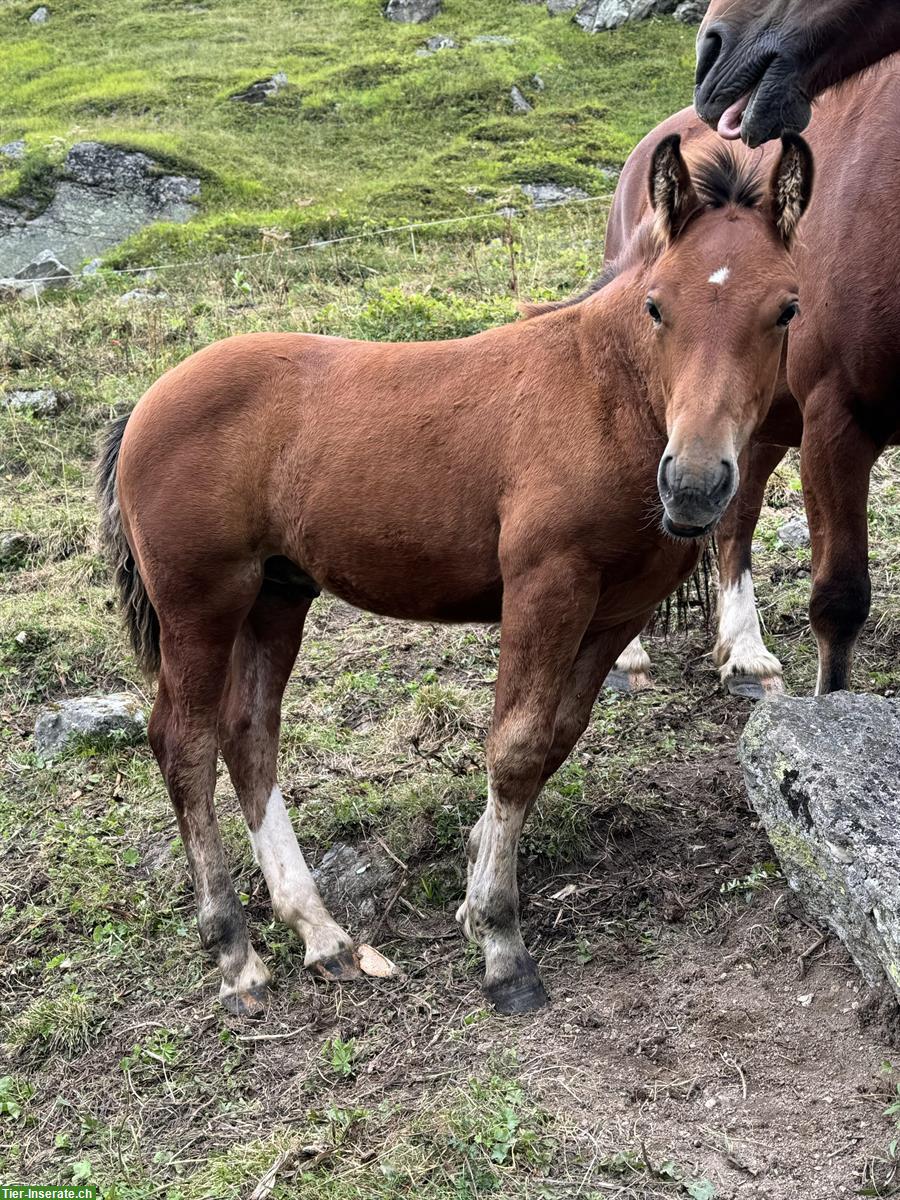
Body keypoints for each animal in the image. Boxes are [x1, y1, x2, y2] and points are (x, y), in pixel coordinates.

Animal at [98, 142, 816, 1022]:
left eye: (785, 309)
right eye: (658, 306)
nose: (693, 485)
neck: (604, 396)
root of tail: (145, 402)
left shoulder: (617, 611)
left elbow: (555, 740)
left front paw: (476, 896)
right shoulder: (545, 586)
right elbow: (515, 747)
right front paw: (503, 946)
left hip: (276, 597)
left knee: (249, 734)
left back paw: (322, 934)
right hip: (201, 604)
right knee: (185, 744)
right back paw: (236, 954)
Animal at [600, 65, 900, 700]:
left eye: (789, 310)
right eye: (653, 308)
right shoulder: (836, 424)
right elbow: (840, 602)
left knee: (736, 519)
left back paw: (745, 652)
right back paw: (629, 654)